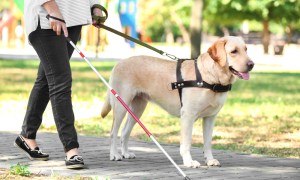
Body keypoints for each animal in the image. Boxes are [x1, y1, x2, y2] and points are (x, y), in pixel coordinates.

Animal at [101, 35, 253, 168]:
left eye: (246, 49)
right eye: (234, 51)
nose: (252, 64)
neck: (211, 78)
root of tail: (119, 63)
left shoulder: (210, 117)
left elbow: (208, 142)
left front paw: (209, 160)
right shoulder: (188, 116)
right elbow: (186, 143)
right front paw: (189, 162)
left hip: (137, 109)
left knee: (125, 132)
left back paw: (126, 153)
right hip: (120, 105)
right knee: (113, 132)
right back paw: (115, 155)